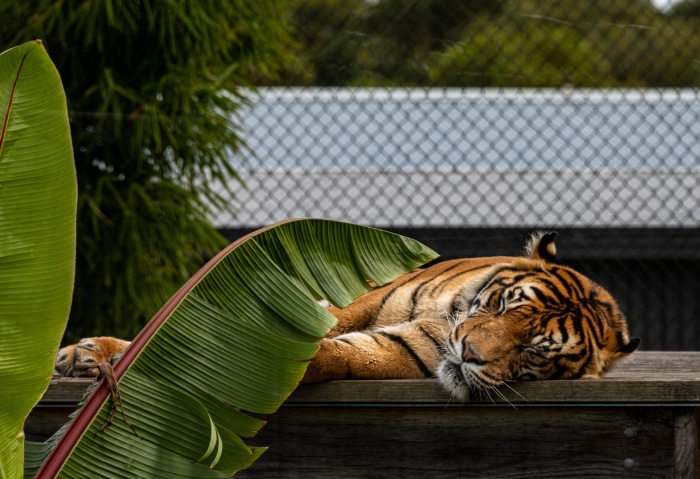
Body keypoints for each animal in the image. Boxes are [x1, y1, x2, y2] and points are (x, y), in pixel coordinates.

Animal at [55, 231, 639, 401]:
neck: (450, 315)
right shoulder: (361, 299)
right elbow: (322, 324)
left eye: (533, 350)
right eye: (501, 305)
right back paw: (83, 355)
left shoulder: (406, 350)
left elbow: (337, 353)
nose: (471, 353)